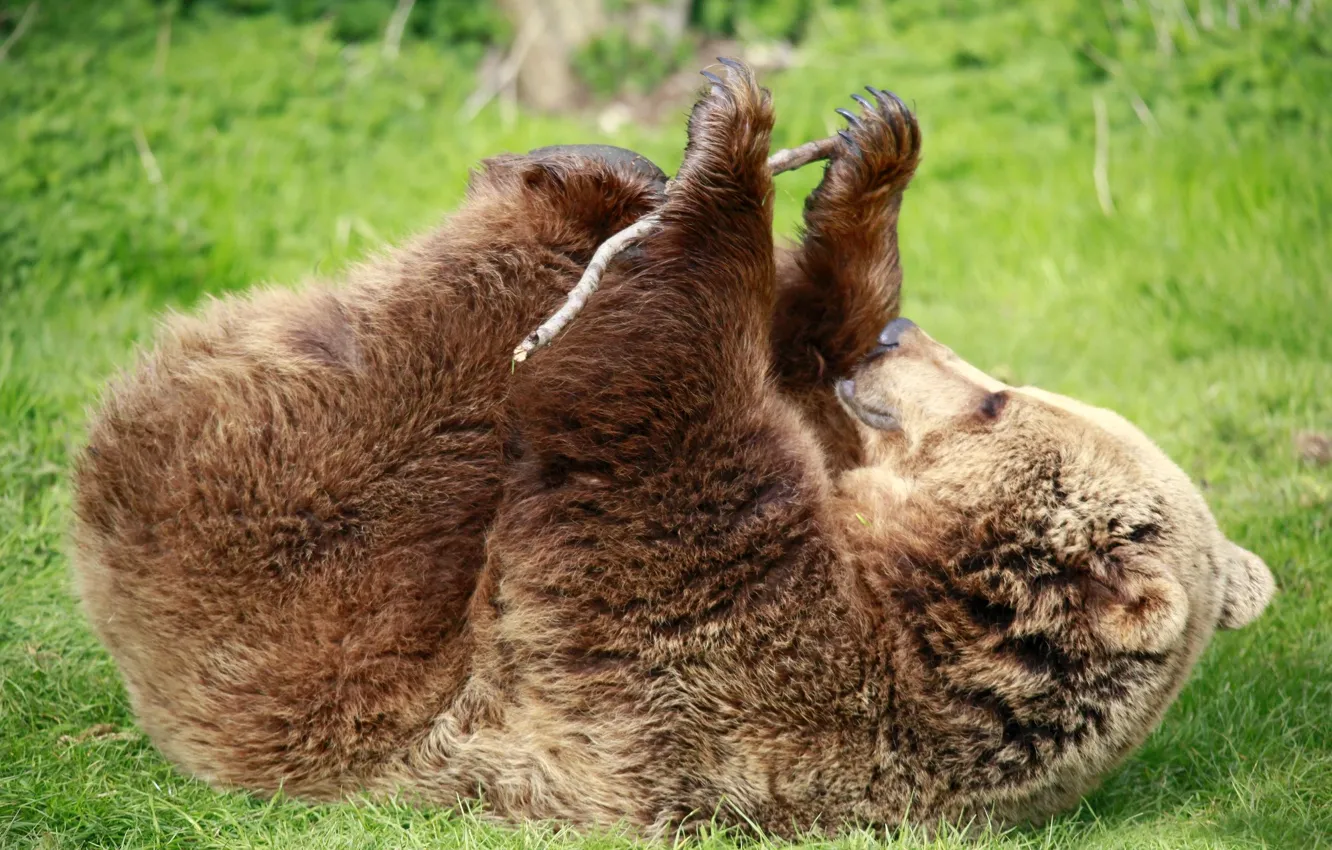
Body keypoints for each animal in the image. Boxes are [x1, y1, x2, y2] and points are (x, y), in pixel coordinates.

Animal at [71, 61, 1274, 837]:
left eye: (995, 401)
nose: (899, 340)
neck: (907, 590)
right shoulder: (823, 484)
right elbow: (790, 359)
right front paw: (868, 160)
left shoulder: (720, 656)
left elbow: (645, 408)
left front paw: (733, 141)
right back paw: (601, 165)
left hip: (298, 584)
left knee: (428, 379)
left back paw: (577, 183)